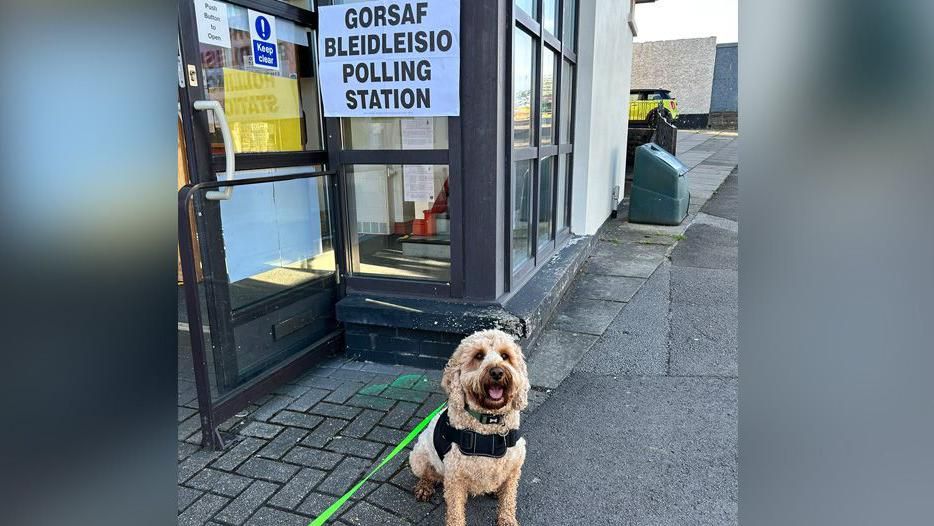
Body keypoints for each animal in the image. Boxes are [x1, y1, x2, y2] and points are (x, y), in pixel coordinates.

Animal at [408, 332, 532, 524]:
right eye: (478, 356)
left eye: (505, 356)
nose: (497, 372)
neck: (489, 423)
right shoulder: (455, 479)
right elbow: (455, 513)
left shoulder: (513, 470)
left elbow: (508, 501)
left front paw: (507, 520)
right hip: (418, 457)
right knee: (428, 474)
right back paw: (424, 487)